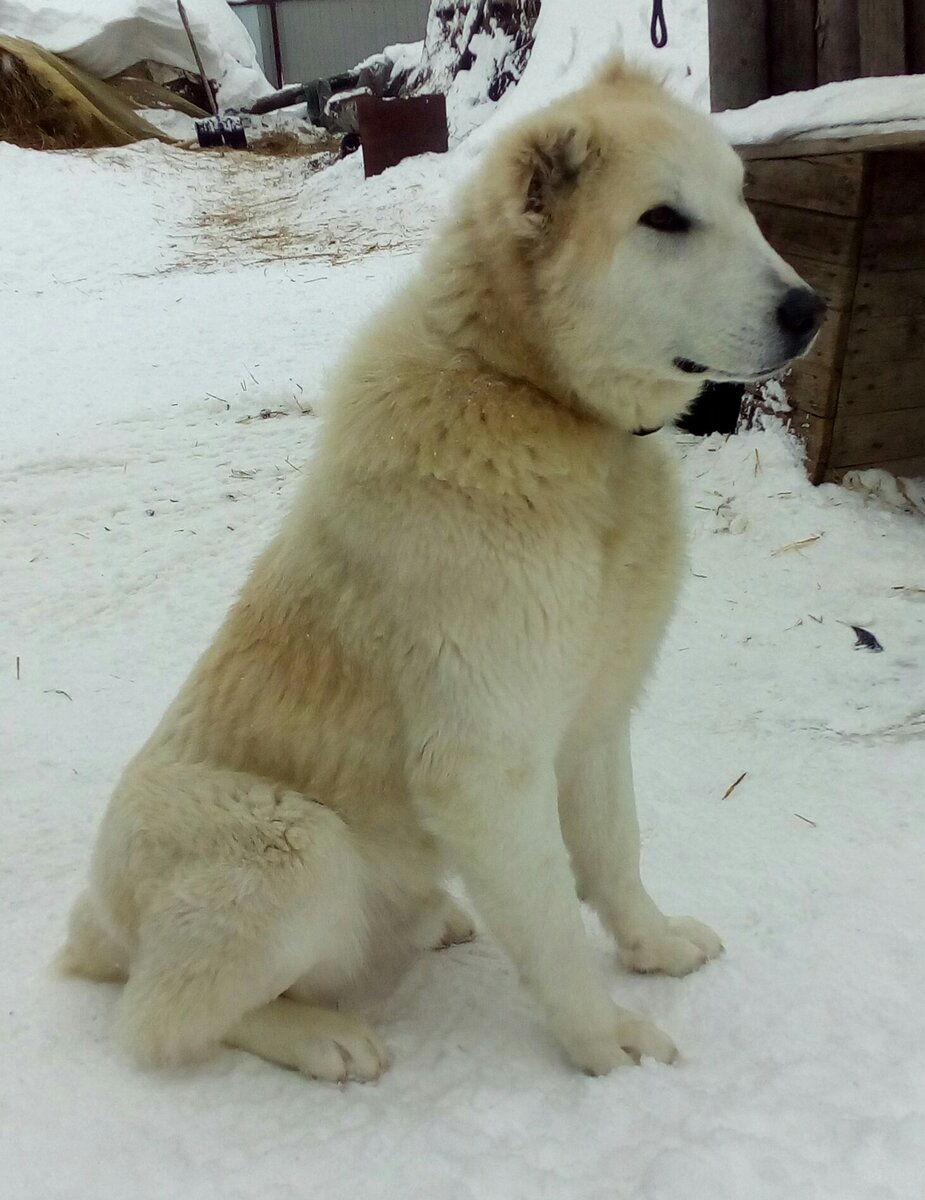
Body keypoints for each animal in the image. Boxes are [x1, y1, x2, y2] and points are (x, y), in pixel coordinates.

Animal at [59, 60, 825, 1084]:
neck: (534, 397)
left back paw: (430, 922)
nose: (810, 310)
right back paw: (323, 1037)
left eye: (739, 199)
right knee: (158, 1019)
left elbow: (615, 857)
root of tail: (97, 926)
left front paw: (652, 947)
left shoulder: (592, 721)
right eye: (662, 219)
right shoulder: (486, 766)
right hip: (297, 845)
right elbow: (550, 918)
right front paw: (603, 1041)